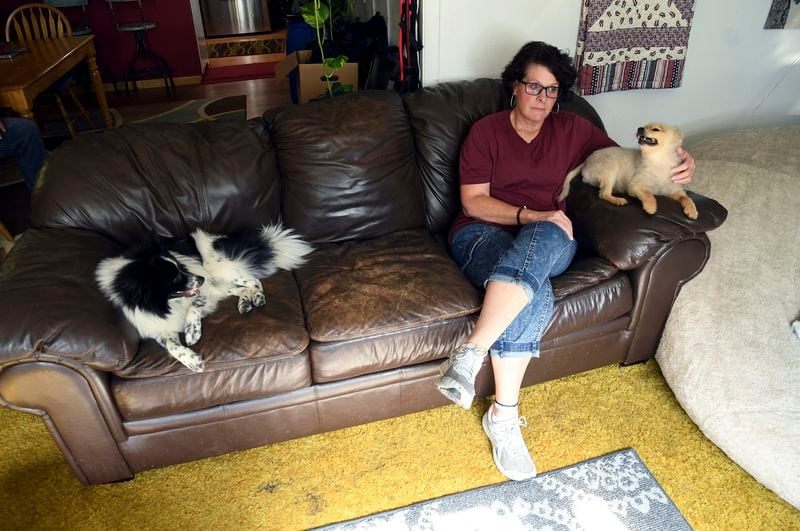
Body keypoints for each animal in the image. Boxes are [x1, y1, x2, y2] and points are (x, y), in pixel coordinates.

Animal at [95, 224, 310, 374]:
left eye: (180, 267)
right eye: (175, 278)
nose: (201, 279)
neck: (165, 305)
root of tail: (220, 240)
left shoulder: (204, 294)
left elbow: (193, 308)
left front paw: (192, 333)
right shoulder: (158, 326)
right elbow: (172, 346)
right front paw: (191, 360)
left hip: (217, 269)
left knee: (253, 281)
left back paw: (257, 297)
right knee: (242, 288)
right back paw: (245, 302)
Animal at [560, 122, 696, 218]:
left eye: (656, 129)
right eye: (644, 126)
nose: (639, 128)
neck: (658, 161)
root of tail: (585, 162)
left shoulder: (675, 191)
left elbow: (686, 198)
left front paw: (692, 210)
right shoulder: (635, 185)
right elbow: (650, 194)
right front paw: (651, 206)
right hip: (610, 168)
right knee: (604, 194)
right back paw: (618, 200)